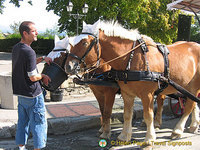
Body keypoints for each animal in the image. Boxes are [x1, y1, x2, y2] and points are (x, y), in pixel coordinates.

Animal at [65, 20, 199, 143]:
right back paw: (192, 125)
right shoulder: (121, 93)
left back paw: (178, 130)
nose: (68, 66)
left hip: (193, 87)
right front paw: (122, 135)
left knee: (189, 106)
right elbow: (123, 113)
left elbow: (146, 114)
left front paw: (149, 138)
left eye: (84, 43)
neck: (131, 58)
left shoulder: (142, 94)